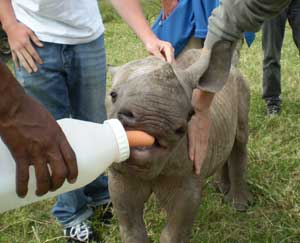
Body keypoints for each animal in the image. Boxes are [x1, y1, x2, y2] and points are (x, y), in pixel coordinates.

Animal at [106, 49, 252, 243]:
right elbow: (131, 230)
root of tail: (234, 68)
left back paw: (239, 205)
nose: (155, 122)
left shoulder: (186, 178)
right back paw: (220, 187)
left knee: (240, 139)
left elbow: (174, 233)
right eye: (113, 95)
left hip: (241, 86)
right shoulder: (120, 175)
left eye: (191, 113)